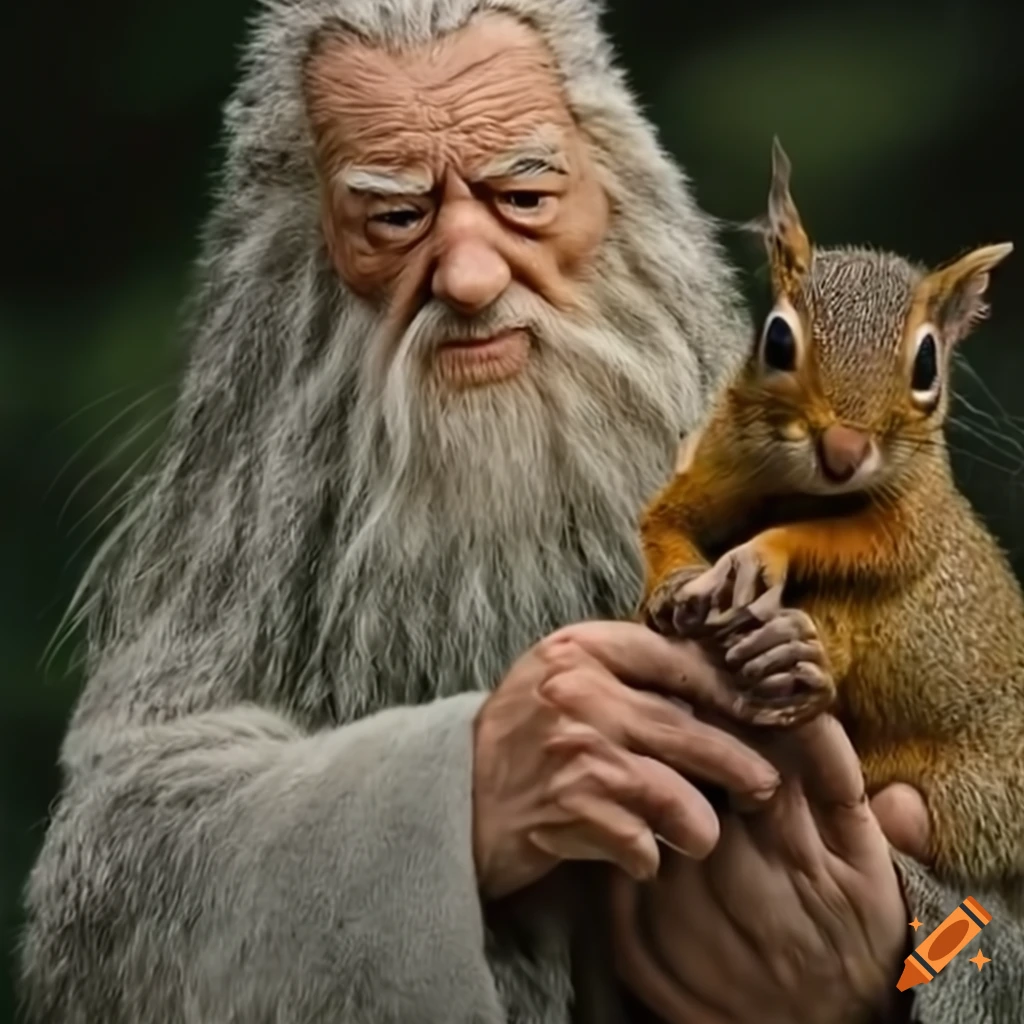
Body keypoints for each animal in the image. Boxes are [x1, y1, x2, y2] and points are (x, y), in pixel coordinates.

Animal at [639, 137, 1022, 891]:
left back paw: (797, 656)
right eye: (778, 341)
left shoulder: (915, 511)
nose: (843, 452)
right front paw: (672, 584)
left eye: (928, 365)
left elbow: (878, 546)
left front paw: (764, 553)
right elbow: (665, 520)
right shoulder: (718, 461)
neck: (805, 488)